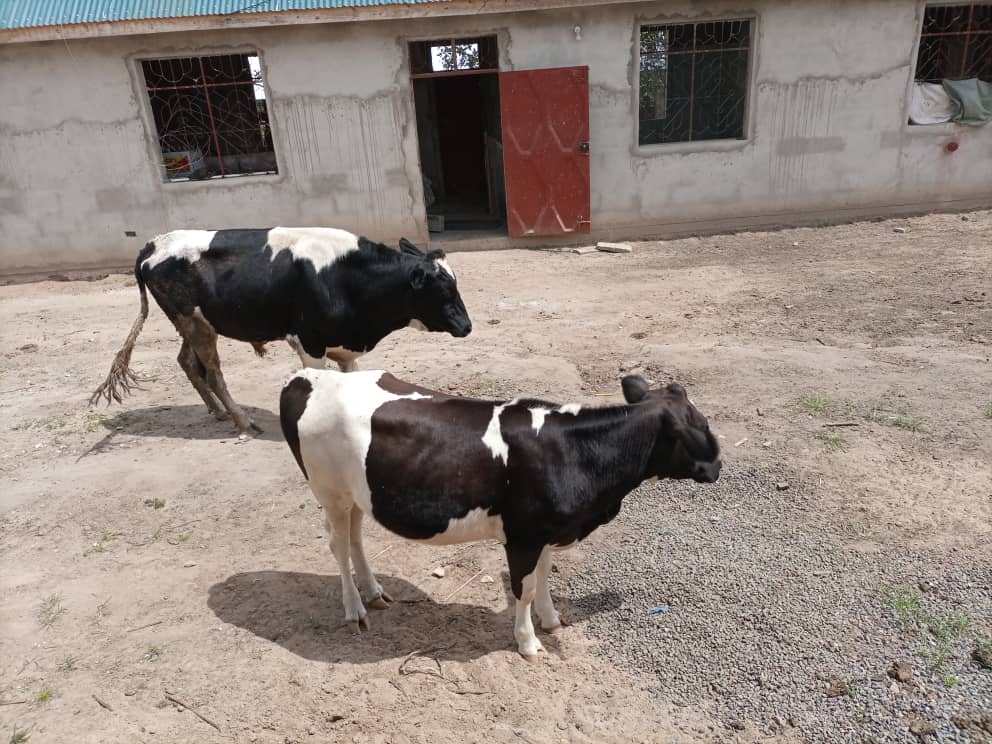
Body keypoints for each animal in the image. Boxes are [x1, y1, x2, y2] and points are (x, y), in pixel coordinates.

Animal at [89, 228, 472, 436]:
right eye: (443, 290)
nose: (467, 326)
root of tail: (153, 244)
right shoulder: (309, 344)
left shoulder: (345, 347)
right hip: (194, 324)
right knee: (212, 373)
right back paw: (241, 420)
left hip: (195, 324)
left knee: (186, 362)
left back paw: (218, 411)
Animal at [279, 368, 721, 660]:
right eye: (699, 427)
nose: (718, 465)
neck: (572, 454)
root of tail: (305, 376)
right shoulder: (523, 535)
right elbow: (523, 589)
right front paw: (528, 642)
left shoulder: (546, 531)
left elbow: (543, 577)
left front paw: (551, 618)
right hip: (329, 490)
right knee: (338, 545)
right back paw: (354, 609)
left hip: (357, 493)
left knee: (354, 536)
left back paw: (373, 592)